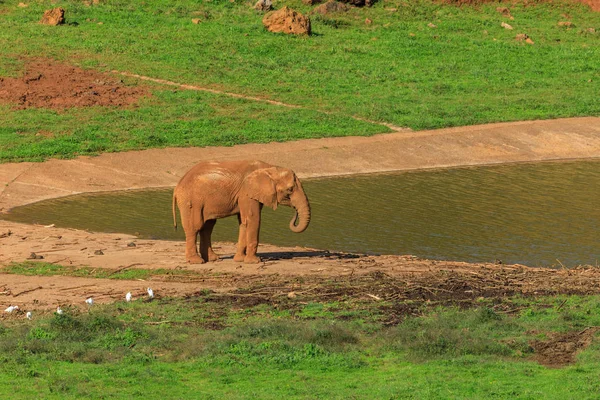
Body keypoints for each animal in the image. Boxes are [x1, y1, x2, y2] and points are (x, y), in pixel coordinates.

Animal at [169, 161, 310, 264]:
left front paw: (240, 260)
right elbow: (253, 219)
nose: (295, 212)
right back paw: (197, 261)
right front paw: (254, 261)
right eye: (290, 189)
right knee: (195, 226)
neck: (269, 168)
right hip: (191, 201)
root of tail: (177, 186)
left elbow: (243, 222)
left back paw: (213, 259)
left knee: (207, 227)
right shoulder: (246, 193)